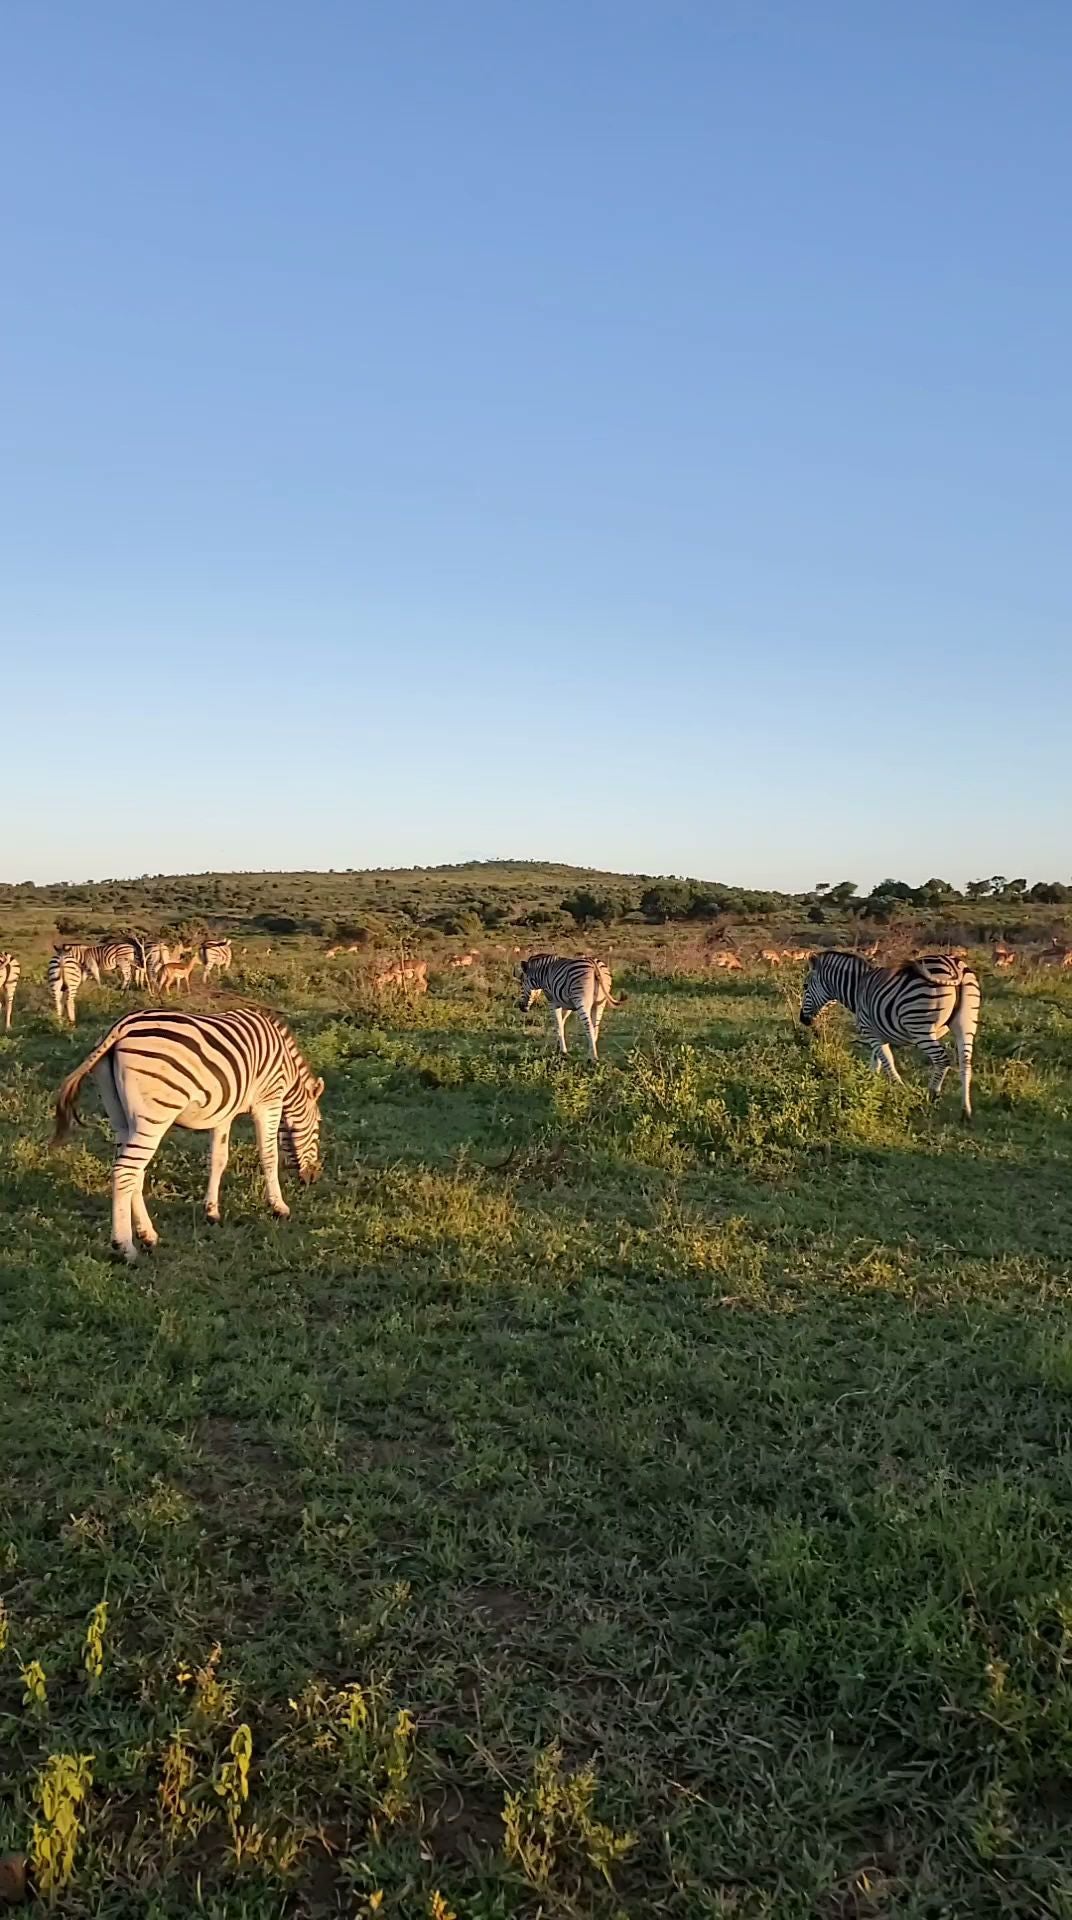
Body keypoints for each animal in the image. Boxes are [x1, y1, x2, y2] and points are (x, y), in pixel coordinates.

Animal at [50, 1006, 326, 1259]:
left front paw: (212, 1211)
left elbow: (218, 1159)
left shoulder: (225, 1111)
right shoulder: (268, 1101)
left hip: (121, 1117)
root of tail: (121, 1027)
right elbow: (269, 1156)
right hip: (153, 1116)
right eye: (318, 1126)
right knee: (125, 1171)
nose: (312, 1178)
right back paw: (125, 1246)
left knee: (133, 1173)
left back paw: (148, 1235)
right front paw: (279, 1207)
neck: (286, 1067)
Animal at [799, 948, 983, 1121]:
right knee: (965, 1064)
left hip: (919, 1026)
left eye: (805, 986)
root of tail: (953, 965)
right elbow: (877, 1062)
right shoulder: (877, 1033)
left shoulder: (870, 1031)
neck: (858, 988)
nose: (802, 1019)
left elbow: (887, 1062)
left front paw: (899, 1094)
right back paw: (965, 1112)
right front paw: (868, 1088)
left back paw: (931, 1096)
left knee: (941, 1060)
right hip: (966, 1024)